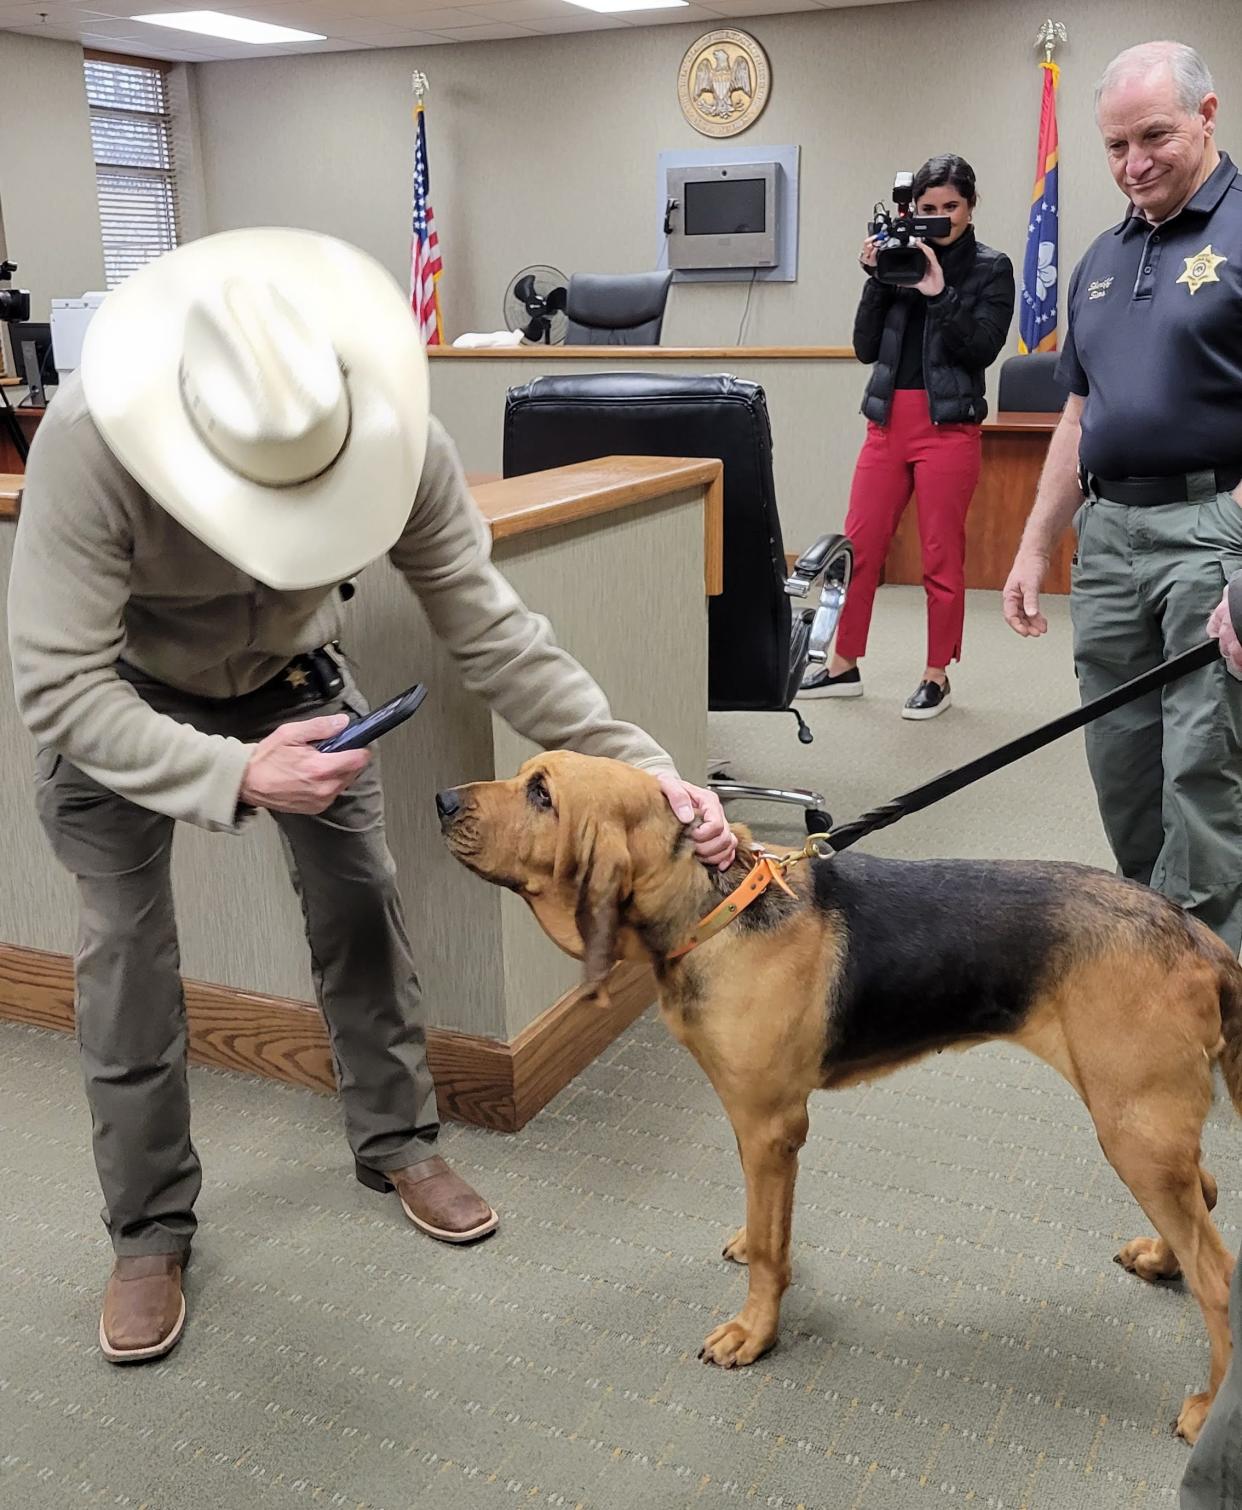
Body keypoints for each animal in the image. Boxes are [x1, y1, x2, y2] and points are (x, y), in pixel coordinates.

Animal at [434, 751, 1242, 1437]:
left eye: (543, 795)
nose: (441, 799)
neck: (714, 911)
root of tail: (1199, 938)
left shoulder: (769, 1124)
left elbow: (771, 1253)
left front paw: (753, 1333)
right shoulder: (763, 1130)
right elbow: (766, 1224)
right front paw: (751, 1251)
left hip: (1131, 1129)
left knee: (1219, 1277)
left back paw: (1207, 1406)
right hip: (1146, 1130)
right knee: (1203, 1198)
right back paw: (1159, 1259)